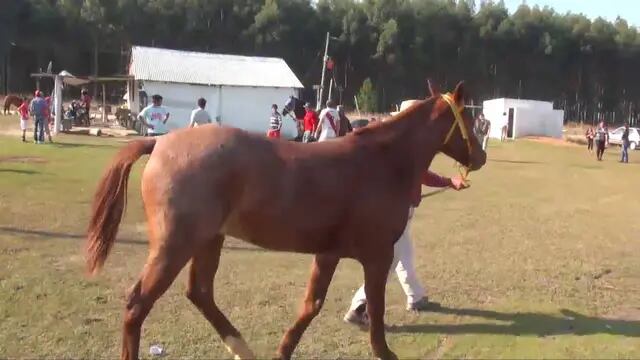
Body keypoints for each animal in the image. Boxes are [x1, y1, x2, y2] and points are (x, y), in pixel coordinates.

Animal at [85, 81, 484, 360]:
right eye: (469, 117)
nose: (479, 157)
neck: (382, 161)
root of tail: (160, 144)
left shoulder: (329, 253)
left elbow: (311, 305)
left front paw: (283, 350)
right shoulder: (377, 255)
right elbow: (374, 306)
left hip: (208, 240)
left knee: (200, 293)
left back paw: (241, 347)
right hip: (175, 245)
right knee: (138, 304)